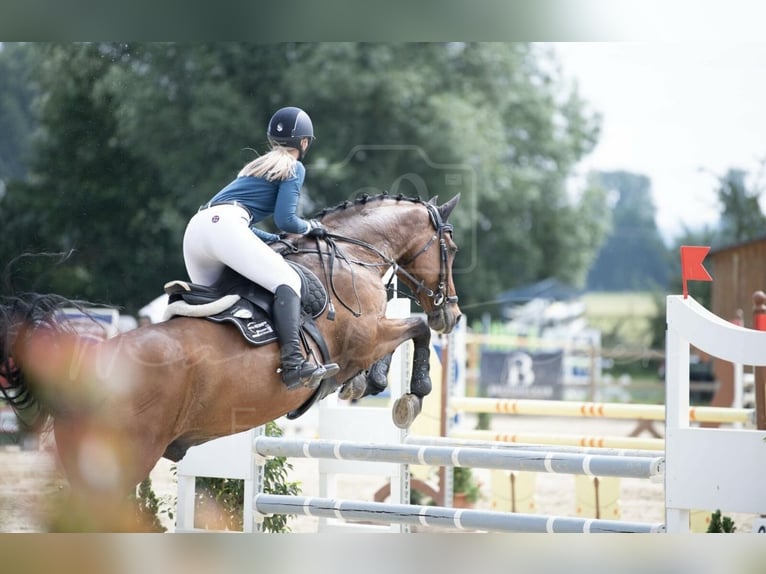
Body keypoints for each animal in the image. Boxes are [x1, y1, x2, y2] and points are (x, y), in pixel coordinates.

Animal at [0, 194, 462, 532]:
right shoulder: (364, 338)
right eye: (452, 248)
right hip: (127, 459)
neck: (351, 255)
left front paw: (369, 383)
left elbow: (400, 341)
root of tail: (87, 369)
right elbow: (417, 328)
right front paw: (412, 395)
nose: (453, 315)